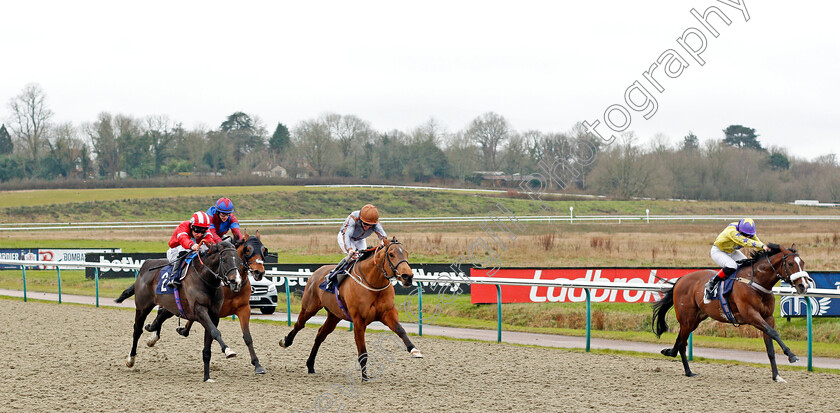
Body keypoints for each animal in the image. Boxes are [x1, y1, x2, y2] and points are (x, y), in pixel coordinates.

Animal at [114, 240, 243, 382]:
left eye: (239, 260)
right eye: (224, 260)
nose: (236, 282)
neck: (204, 279)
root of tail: (146, 264)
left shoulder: (214, 315)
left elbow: (208, 344)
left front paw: (207, 377)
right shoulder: (200, 310)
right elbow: (215, 332)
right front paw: (228, 350)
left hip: (171, 306)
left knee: (161, 316)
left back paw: (152, 334)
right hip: (142, 307)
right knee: (137, 331)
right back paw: (131, 359)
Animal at [143, 230, 270, 374]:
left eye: (264, 250)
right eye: (248, 249)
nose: (259, 272)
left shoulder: (243, 308)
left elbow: (247, 337)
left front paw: (257, 364)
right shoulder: (206, 308)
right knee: (163, 312)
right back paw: (153, 335)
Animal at [278, 237, 424, 378]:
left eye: (406, 253)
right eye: (391, 254)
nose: (408, 276)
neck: (373, 284)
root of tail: (316, 272)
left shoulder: (387, 313)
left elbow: (401, 330)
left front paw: (414, 350)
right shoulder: (359, 320)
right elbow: (362, 352)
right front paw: (364, 378)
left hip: (334, 315)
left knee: (320, 335)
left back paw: (310, 366)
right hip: (309, 307)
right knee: (299, 324)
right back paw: (286, 341)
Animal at [648, 243, 812, 382]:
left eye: (803, 262)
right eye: (790, 264)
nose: (804, 286)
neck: (756, 282)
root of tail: (681, 279)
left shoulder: (768, 317)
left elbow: (770, 347)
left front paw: (777, 376)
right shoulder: (751, 315)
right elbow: (774, 333)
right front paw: (792, 356)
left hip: (696, 319)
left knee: (681, 339)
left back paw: (672, 354)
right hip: (687, 318)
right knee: (682, 343)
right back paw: (688, 371)